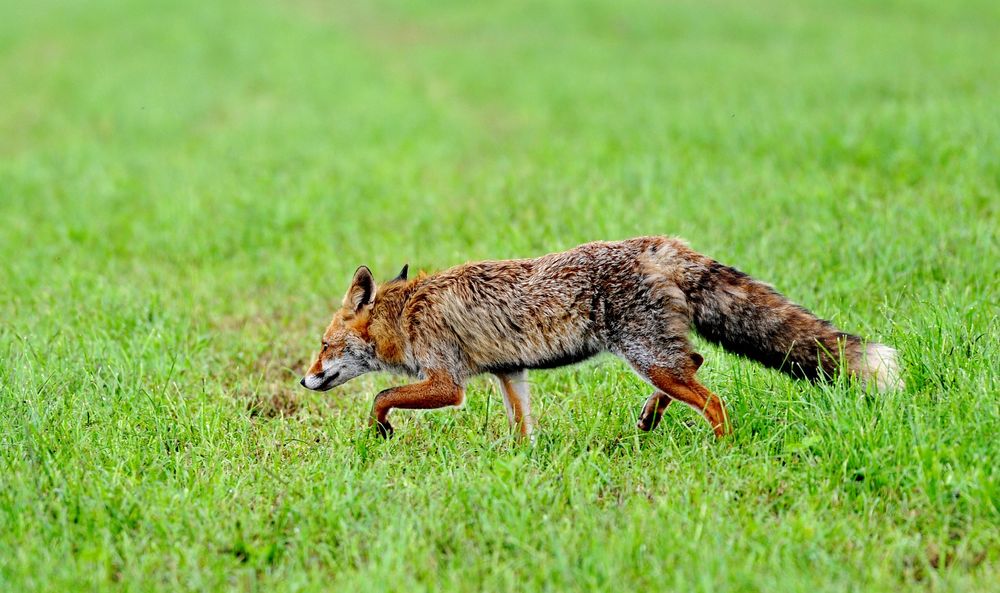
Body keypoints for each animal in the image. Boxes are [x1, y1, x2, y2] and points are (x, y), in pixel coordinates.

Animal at [300, 237, 903, 439]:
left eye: (325, 347)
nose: (304, 380)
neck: (407, 314)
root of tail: (660, 244)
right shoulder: (510, 374)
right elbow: (522, 430)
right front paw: (519, 464)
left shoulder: (449, 384)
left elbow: (382, 395)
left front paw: (380, 431)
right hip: (657, 356)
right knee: (697, 362)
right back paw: (651, 418)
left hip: (648, 356)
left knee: (713, 399)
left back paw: (722, 449)